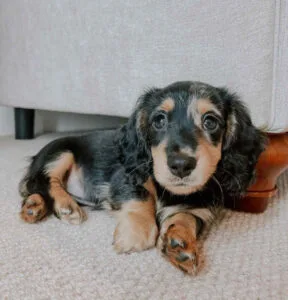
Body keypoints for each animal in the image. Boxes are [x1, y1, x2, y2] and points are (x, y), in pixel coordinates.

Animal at [18, 81, 266, 274]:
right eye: (159, 120)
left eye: (211, 121)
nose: (181, 165)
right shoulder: (127, 177)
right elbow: (142, 196)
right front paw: (136, 233)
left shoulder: (200, 204)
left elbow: (186, 216)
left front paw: (181, 244)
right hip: (60, 152)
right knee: (43, 181)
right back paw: (64, 205)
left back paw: (34, 207)